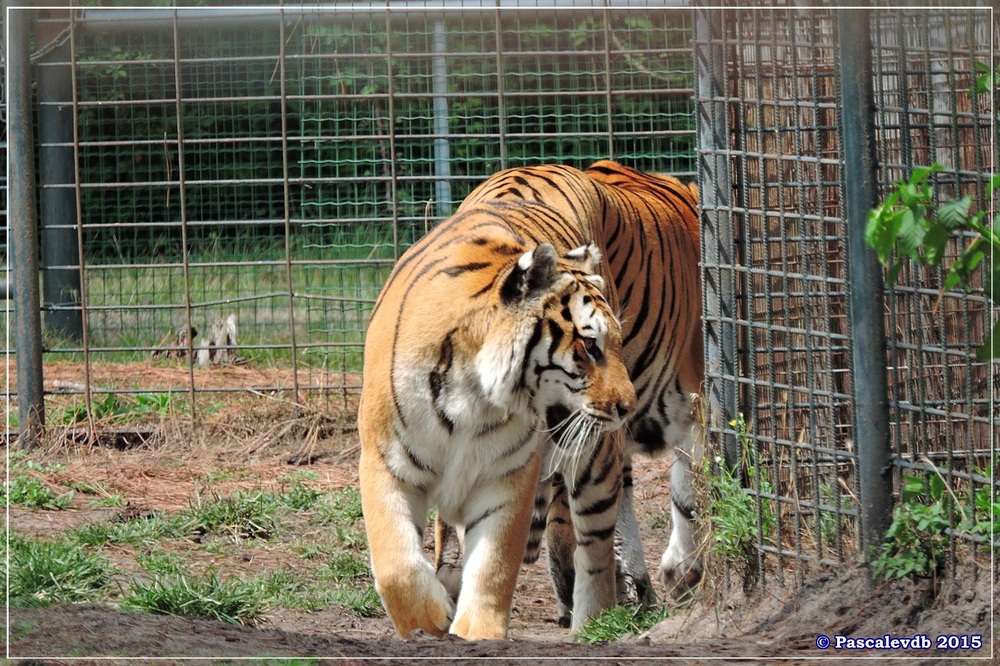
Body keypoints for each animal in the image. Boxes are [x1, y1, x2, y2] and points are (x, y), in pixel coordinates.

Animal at [362, 160, 704, 640]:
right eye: (589, 346)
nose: (627, 405)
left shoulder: (511, 473)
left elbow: (494, 565)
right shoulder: (386, 461)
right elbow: (398, 566)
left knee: (590, 530)